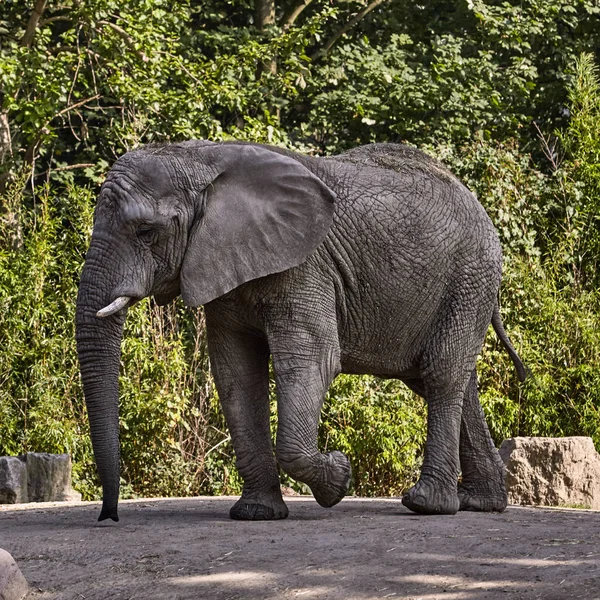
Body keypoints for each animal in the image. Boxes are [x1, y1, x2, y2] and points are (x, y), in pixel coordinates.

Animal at [76, 139, 524, 520]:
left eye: (146, 232)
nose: (108, 515)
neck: (201, 160)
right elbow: (237, 373)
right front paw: (256, 514)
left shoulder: (305, 266)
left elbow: (312, 360)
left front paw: (339, 476)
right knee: (446, 380)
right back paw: (480, 503)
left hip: (470, 276)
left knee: (441, 374)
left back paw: (427, 505)